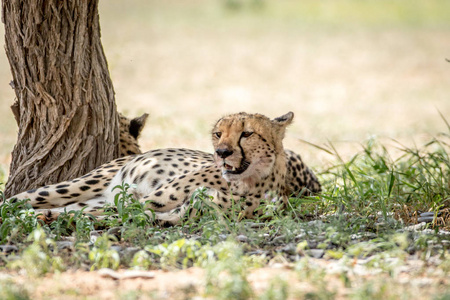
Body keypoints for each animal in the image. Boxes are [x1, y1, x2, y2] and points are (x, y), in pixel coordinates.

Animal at [6, 112, 320, 225]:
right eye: (218, 134)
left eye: (247, 134)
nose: (222, 153)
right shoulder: (153, 199)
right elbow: (127, 211)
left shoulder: (180, 212)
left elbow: (137, 216)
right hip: (77, 185)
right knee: (15, 199)